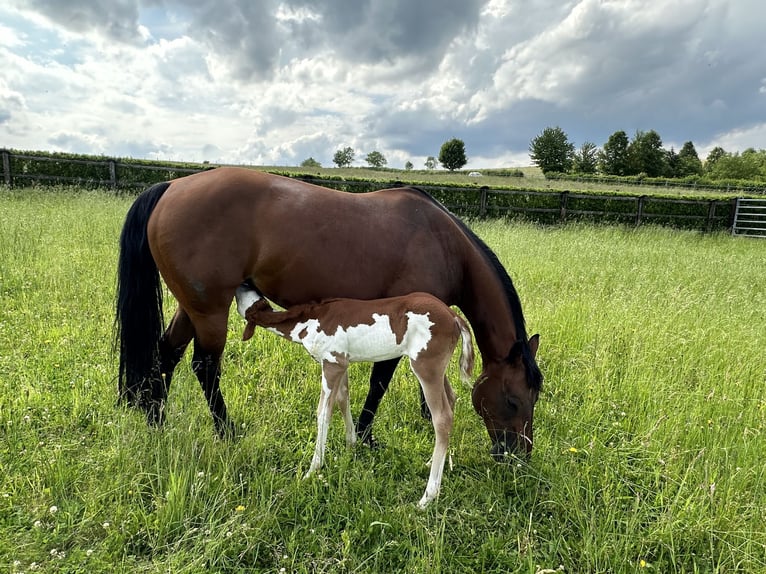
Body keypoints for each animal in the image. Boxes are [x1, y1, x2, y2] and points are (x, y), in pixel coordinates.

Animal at [115, 166, 544, 460]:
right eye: (513, 401)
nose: (517, 455)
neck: (443, 244)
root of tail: (172, 186)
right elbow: (379, 382)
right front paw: (367, 437)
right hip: (210, 311)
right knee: (204, 366)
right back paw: (226, 431)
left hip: (193, 306)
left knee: (166, 353)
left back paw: (156, 421)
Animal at [236, 286, 474, 508]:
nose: (244, 283)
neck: (310, 320)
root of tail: (454, 317)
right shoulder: (343, 363)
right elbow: (343, 397)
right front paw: (351, 447)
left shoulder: (333, 363)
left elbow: (323, 412)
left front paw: (312, 470)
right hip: (436, 369)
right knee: (451, 399)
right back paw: (434, 462)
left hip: (426, 365)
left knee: (442, 417)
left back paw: (428, 496)